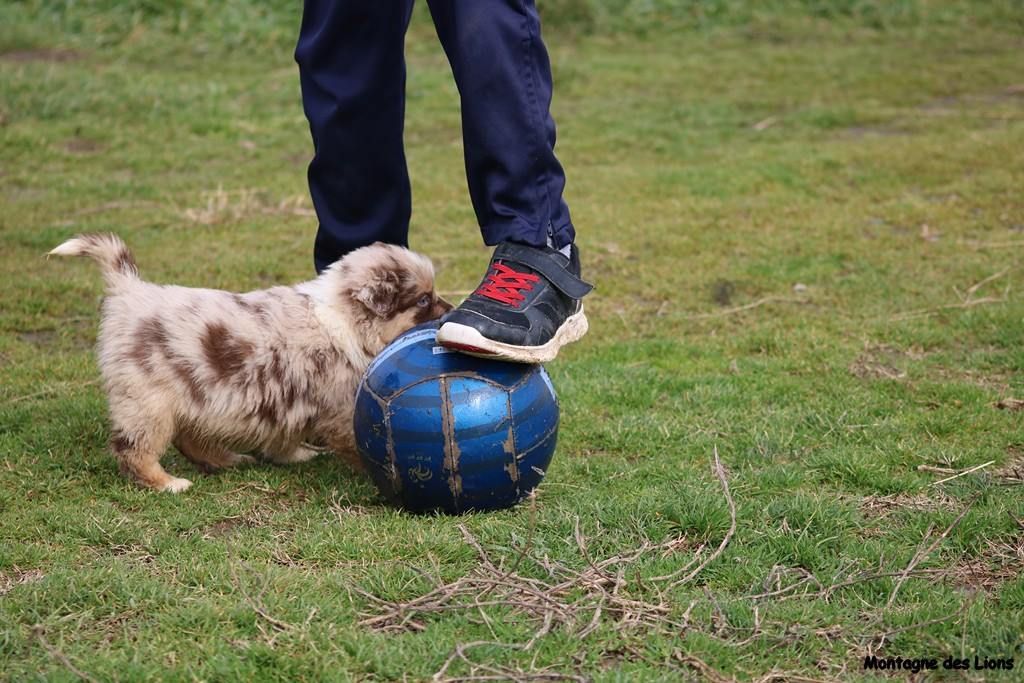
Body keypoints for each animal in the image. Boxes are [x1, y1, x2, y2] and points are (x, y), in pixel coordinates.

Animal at [48, 233, 448, 491]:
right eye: (423, 300)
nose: (448, 311)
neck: (344, 318)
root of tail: (129, 290)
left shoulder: (291, 400)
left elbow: (285, 434)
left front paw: (295, 454)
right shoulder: (335, 402)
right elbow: (354, 440)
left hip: (194, 396)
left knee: (190, 438)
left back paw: (228, 460)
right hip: (148, 398)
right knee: (135, 449)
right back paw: (168, 483)